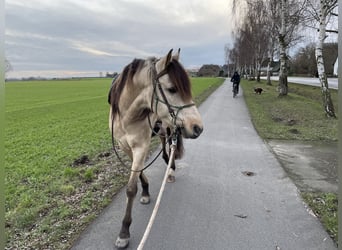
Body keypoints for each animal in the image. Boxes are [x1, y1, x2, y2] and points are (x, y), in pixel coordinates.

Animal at [107, 48, 203, 248]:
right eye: (172, 89)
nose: (198, 127)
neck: (128, 115)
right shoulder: (125, 146)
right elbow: (138, 174)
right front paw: (145, 191)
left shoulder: (141, 146)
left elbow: (130, 188)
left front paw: (124, 231)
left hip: (169, 127)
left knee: (168, 151)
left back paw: (171, 170)